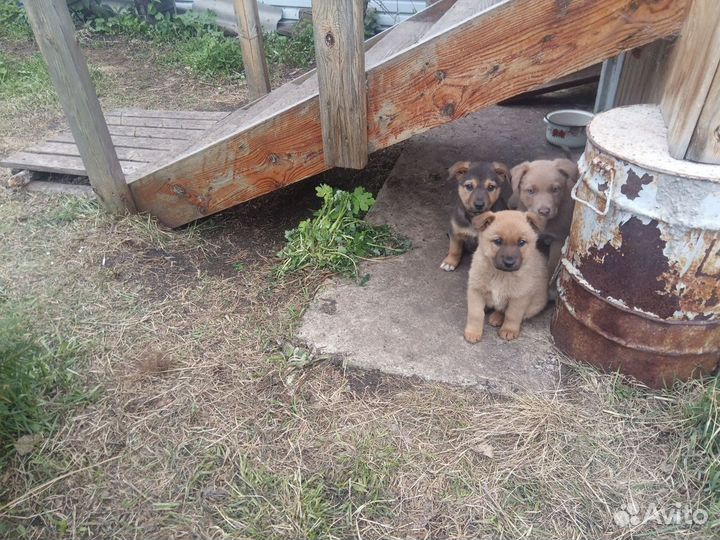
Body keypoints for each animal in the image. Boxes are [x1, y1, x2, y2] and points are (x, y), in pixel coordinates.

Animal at [464, 209, 548, 344]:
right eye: (498, 241)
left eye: (521, 242)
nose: (509, 263)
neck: (500, 274)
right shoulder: (475, 290)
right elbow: (476, 314)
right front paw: (473, 332)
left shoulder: (519, 297)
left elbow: (512, 315)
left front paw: (509, 330)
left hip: (533, 306)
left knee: (503, 310)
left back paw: (497, 317)